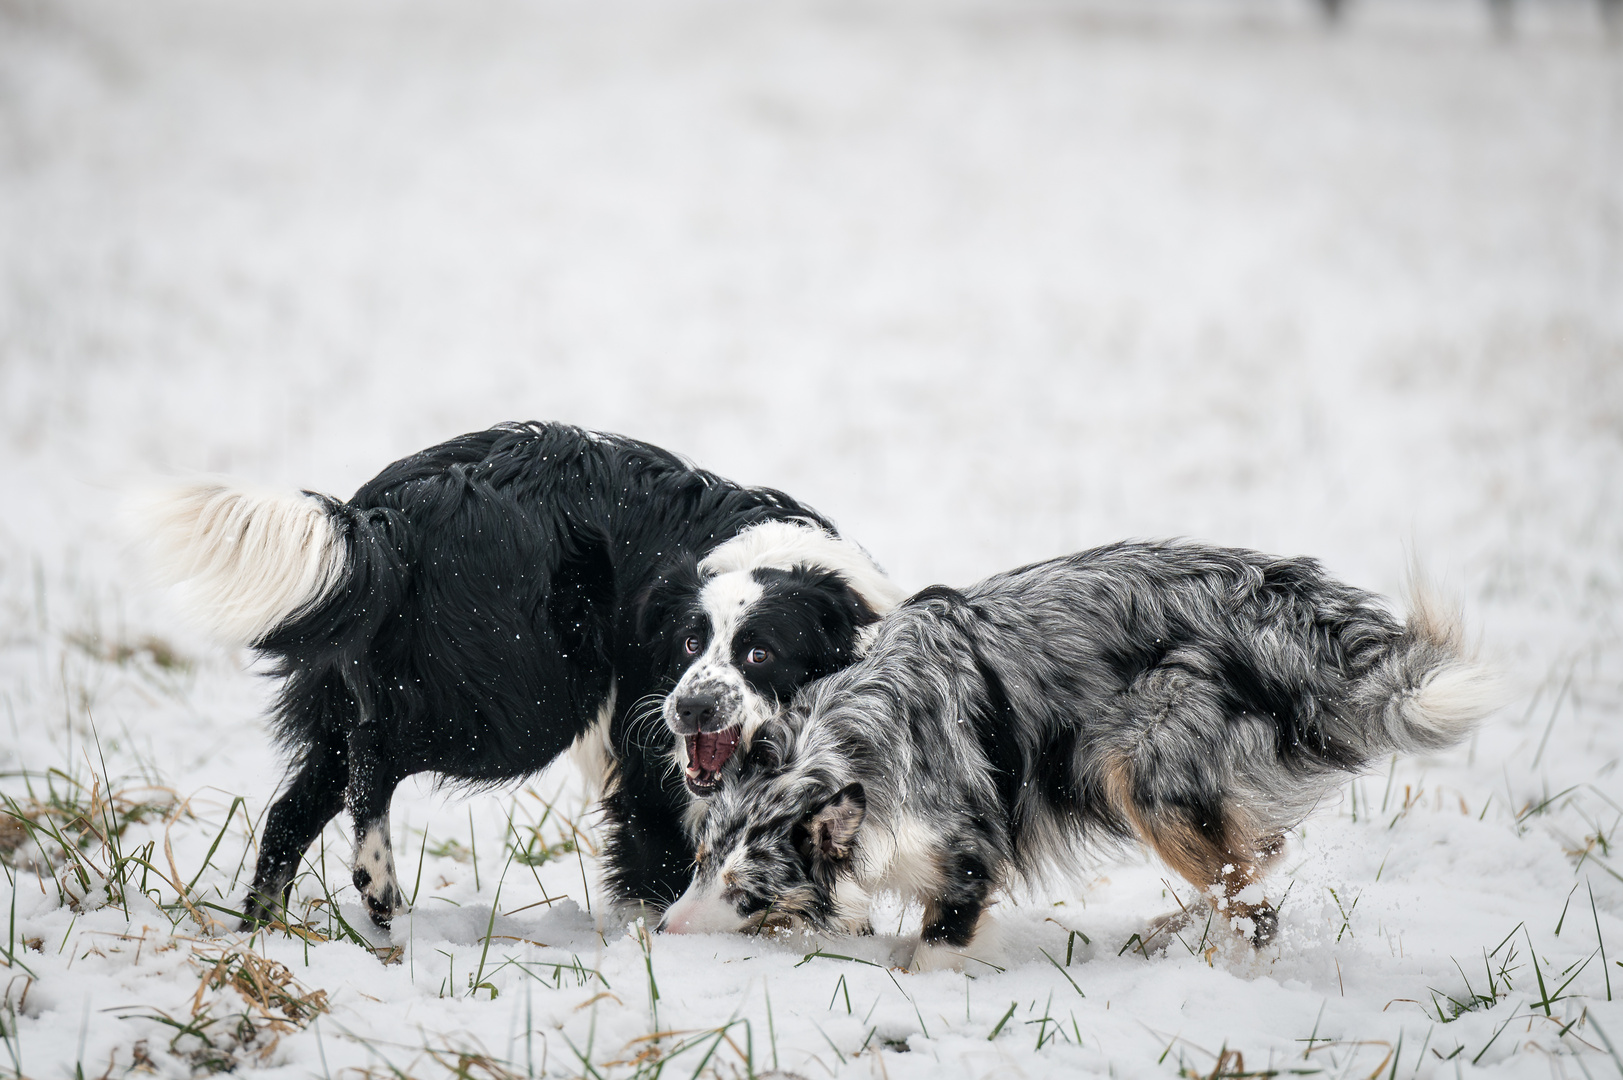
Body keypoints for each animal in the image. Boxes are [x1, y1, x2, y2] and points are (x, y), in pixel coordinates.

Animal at [136, 422, 902, 928]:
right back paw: (377, 883)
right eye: (689, 643)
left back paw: (265, 935)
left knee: (294, 808)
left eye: (760, 654)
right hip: (521, 700)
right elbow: (660, 868)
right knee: (374, 755)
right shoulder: (647, 766)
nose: (691, 710)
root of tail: (388, 512)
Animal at [655, 539, 1493, 967]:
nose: (661, 933)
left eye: (744, 891)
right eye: (697, 863)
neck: (849, 747)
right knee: (1257, 859)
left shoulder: (966, 856)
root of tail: (1303, 621)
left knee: (1250, 892)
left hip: (1146, 770)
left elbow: (936, 943)